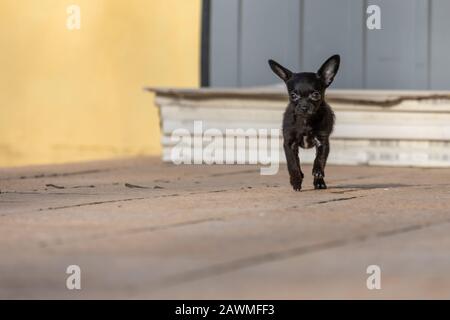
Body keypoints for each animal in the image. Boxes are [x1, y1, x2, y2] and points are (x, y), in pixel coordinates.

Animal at [268, 54, 340, 192]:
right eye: (293, 95)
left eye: (316, 94)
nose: (304, 107)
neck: (305, 121)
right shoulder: (289, 144)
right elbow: (292, 163)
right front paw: (296, 180)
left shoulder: (322, 142)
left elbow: (320, 159)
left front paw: (318, 172)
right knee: (296, 160)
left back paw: (319, 183)